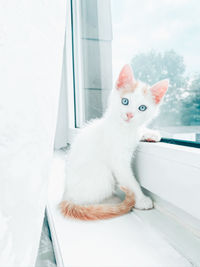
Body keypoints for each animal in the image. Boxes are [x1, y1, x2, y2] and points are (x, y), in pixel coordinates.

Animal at [59, 63, 169, 221]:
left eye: (142, 108)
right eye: (125, 101)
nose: (129, 115)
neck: (124, 128)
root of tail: (66, 195)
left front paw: (150, 133)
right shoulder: (118, 160)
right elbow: (129, 179)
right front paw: (142, 199)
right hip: (102, 176)